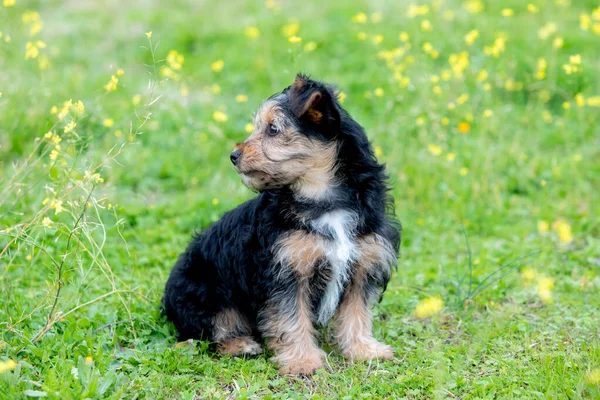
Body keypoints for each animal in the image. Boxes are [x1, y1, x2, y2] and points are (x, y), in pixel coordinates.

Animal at [162, 72, 400, 376]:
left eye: (273, 129)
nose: (234, 156)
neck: (324, 200)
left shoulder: (362, 265)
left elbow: (356, 312)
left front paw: (363, 350)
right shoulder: (285, 272)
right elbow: (291, 318)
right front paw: (302, 361)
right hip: (204, 293)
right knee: (209, 331)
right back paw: (239, 345)